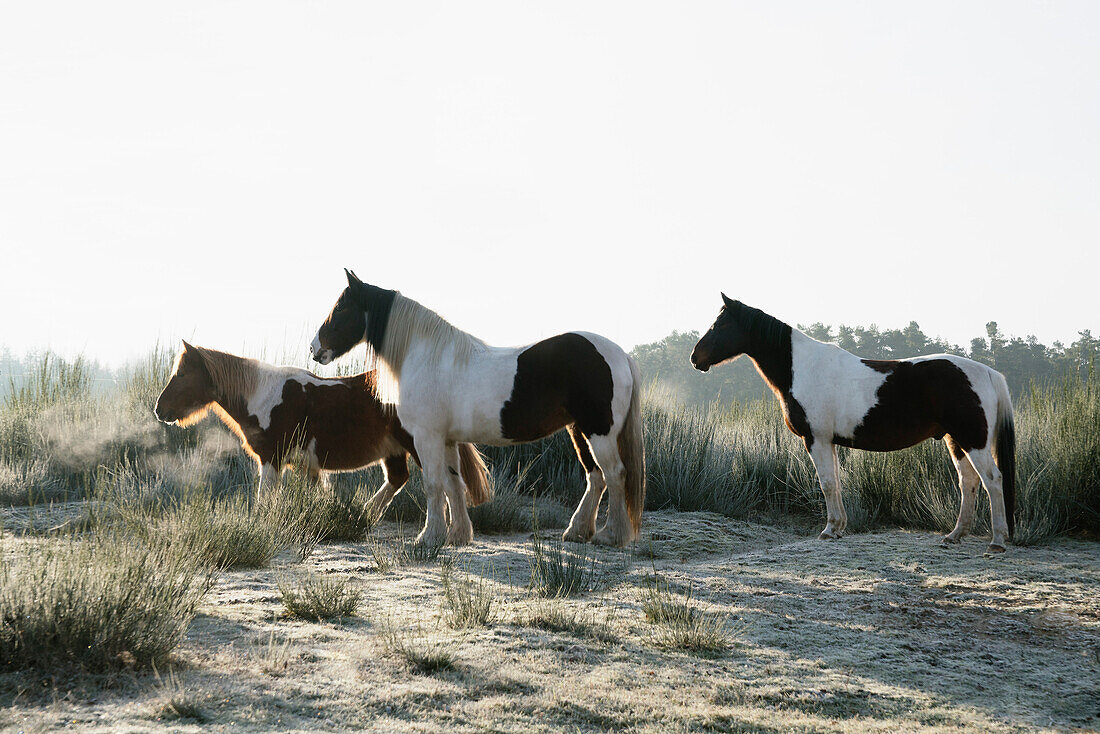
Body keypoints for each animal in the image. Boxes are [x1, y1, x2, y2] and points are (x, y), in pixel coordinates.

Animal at [151, 341, 490, 517]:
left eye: (182, 374)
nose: (159, 409)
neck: (266, 397)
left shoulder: (272, 460)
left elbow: (265, 499)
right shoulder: (308, 465)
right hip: (393, 450)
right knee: (397, 479)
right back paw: (365, 514)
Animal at [308, 272, 642, 548]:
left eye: (341, 308)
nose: (314, 349)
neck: (427, 356)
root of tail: (620, 354)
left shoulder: (427, 437)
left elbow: (433, 484)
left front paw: (429, 537)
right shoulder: (447, 440)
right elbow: (454, 483)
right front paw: (458, 535)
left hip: (599, 431)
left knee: (614, 474)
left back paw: (611, 535)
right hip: (579, 430)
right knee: (596, 477)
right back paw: (577, 531)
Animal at [690, 294, 1016, 554]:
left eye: (720, 325)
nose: (695, 357)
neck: (803, 368)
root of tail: (988, 372)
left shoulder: (816, 439)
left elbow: (827, 483)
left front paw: (829, 529)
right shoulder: (828, 442)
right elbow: (835, 481)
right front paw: (839, 528)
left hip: (973, 440)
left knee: (992, 480)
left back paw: (997, 541)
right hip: (955, 440)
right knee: (968, 482)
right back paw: (954, 535)